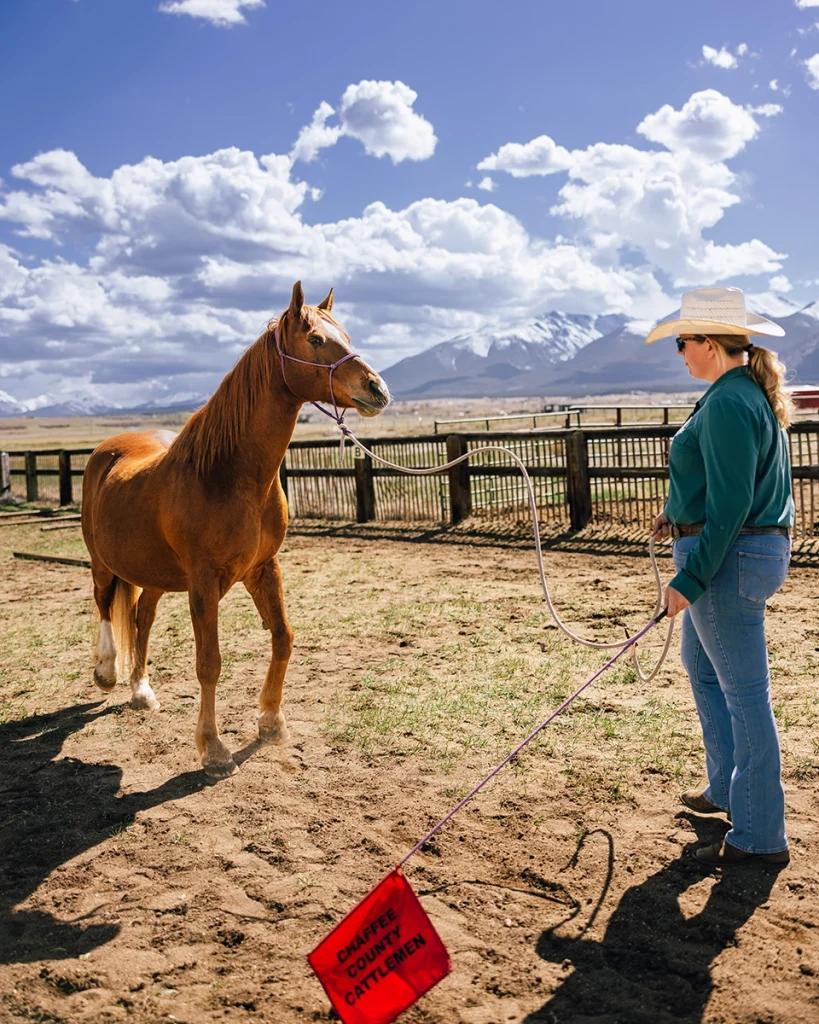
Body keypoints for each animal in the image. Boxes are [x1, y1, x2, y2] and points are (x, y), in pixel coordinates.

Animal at [81, 282, 391, 777]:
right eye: (316, 340)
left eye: (344, 334)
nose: (377, 389)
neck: (231, 475)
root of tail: (108, 449)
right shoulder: (204, 581)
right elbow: (209, 662)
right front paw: (213, 748)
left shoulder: (263, 568)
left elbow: (283, 639)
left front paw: (270, 721)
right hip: (102, 562)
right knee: (104, 604)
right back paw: (107, 672)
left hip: (156, 573)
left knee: (142, 617)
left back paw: (142, 690)